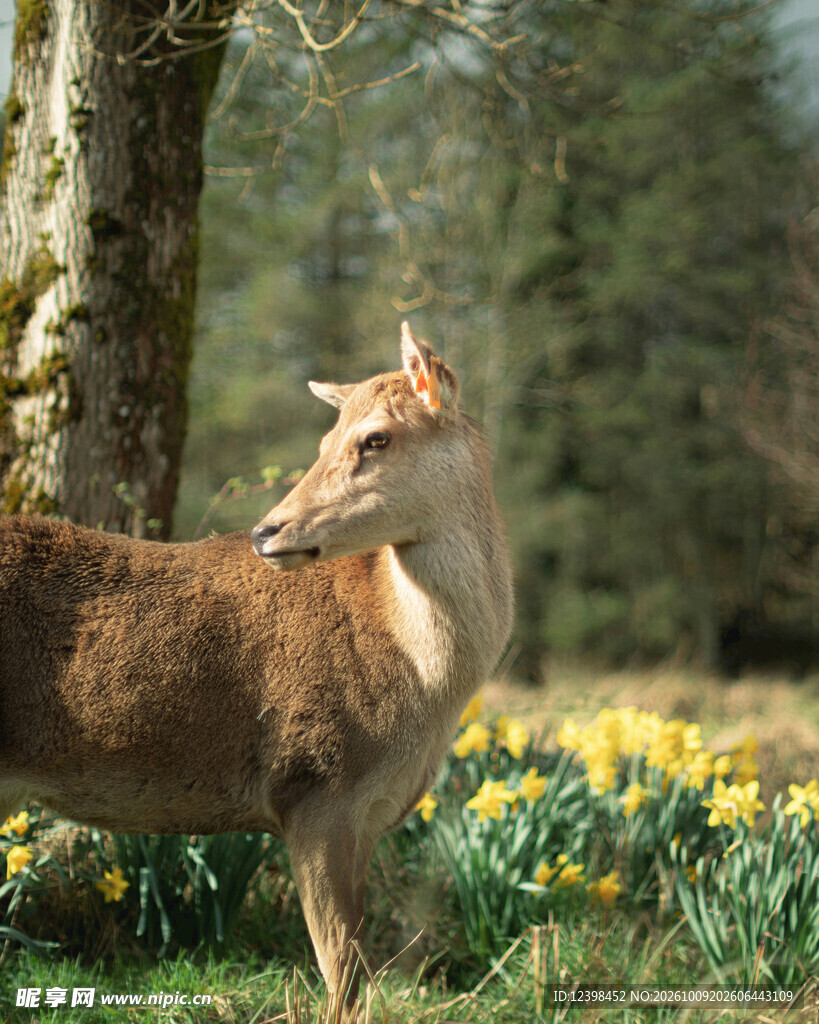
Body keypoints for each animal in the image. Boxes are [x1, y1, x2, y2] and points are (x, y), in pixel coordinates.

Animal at [0, 324, 513, 1012]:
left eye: (376, 437)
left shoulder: (367, 815)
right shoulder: (314, 785)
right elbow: (341, 975)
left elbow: (358, 973)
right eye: (324, 440)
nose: (266, 532)